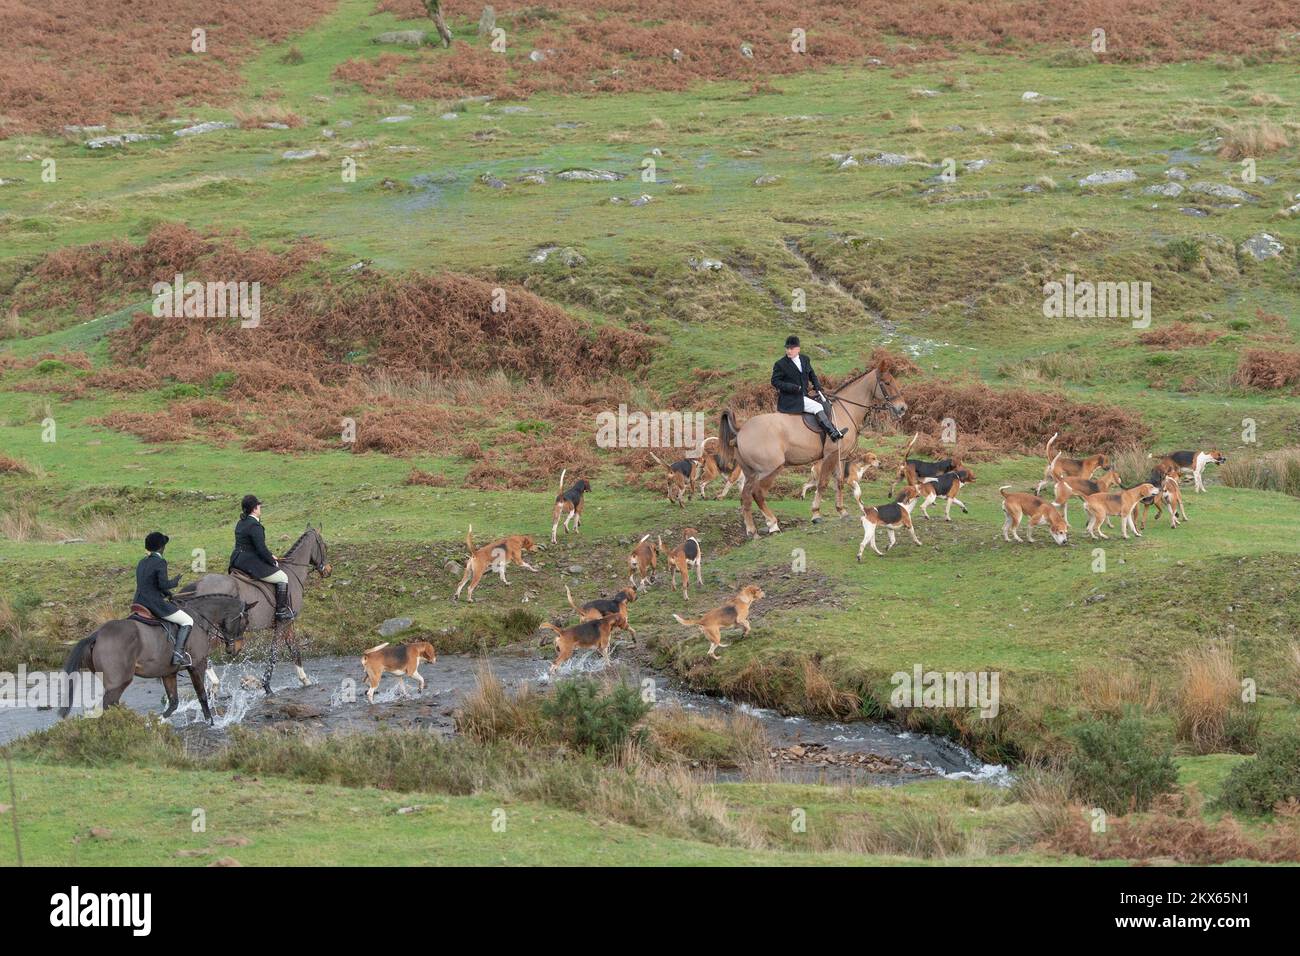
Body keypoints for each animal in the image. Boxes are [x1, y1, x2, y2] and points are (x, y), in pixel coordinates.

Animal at [59, 595, 252, 723]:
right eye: (245, 623)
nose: (236, 649)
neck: (199, 618)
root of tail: (97, 634)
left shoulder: (168, 673)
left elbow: (173, 703)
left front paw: (156, 721)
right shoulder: (197, 665)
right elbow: (202, 695)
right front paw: (210, 722)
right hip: (118, 682)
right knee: (108, 706)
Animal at [182, 528, 332, 697]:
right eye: (325, 546)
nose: (328, 570)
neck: (293, 573)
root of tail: (199, 584)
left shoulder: (288, 623)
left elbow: (294, 650)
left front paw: (305, 681)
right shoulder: (284, 622)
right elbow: (274, 653)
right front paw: (266, 685)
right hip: (216, 632)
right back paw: (214, 684)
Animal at [717, 364, 909, 535]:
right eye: (887, 382)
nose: (902, 408)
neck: (845, 410)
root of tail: (741, 430)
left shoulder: (840, 457)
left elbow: (839, 482)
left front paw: (842, 511)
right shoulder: (830, 455)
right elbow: (822, 483)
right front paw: (816, 514)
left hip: (750, 472)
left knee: (745, 496)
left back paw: (752, 530)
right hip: (770, 470)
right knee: (758, 493)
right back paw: (773, 524)